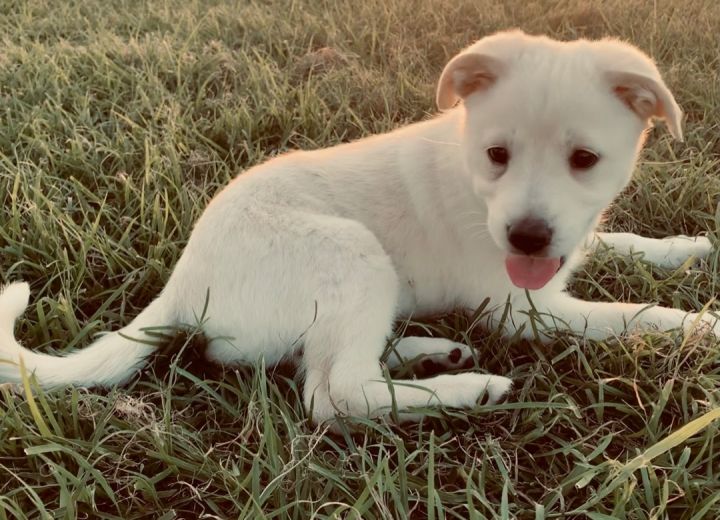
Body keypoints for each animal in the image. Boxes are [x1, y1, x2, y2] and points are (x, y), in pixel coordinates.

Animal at [0, 30, 716, 424]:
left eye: (584, 160)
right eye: (497, 154)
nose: (527, 239)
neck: (470, 177)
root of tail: (184, 281)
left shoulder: (567, 246)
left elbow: (621, 244)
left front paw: (688, 247)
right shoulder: (525, 309)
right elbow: (632, 314)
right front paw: (700, 325)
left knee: (317, 359)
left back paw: (429, 352)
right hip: (353, 252)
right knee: (335, 393)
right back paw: (468, 385)